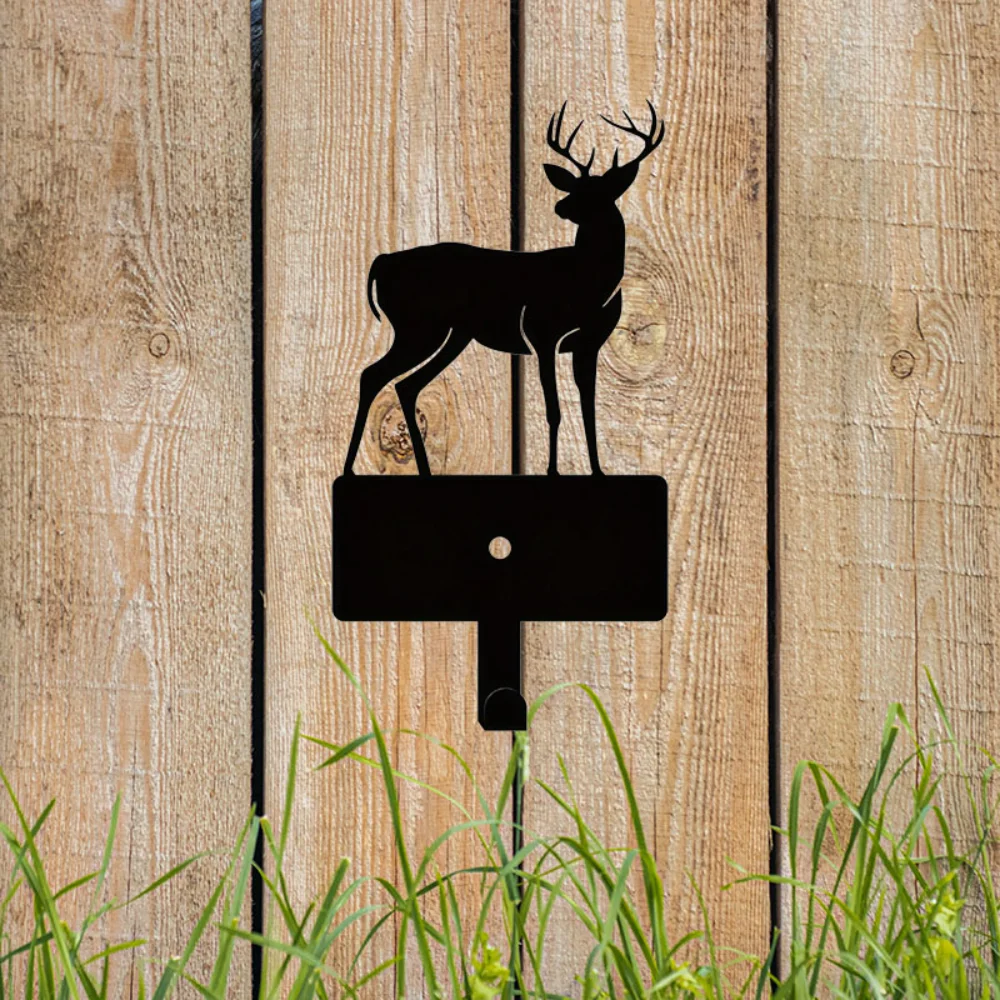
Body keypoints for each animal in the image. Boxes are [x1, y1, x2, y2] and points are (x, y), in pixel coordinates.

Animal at [343, 101, 665, 477]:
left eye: (599, 193)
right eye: (573, 188)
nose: (560, 207)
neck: (588, 283)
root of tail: (382, 261)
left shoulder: (590, 343)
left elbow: (589, 407)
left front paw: (598, 472)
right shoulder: (541, 332)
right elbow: (553, 409)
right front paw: (552, 472)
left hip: (452, 333)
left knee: (406, 385)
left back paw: (421, 470)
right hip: (418, 326)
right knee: (374, 375)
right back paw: (350, 469)